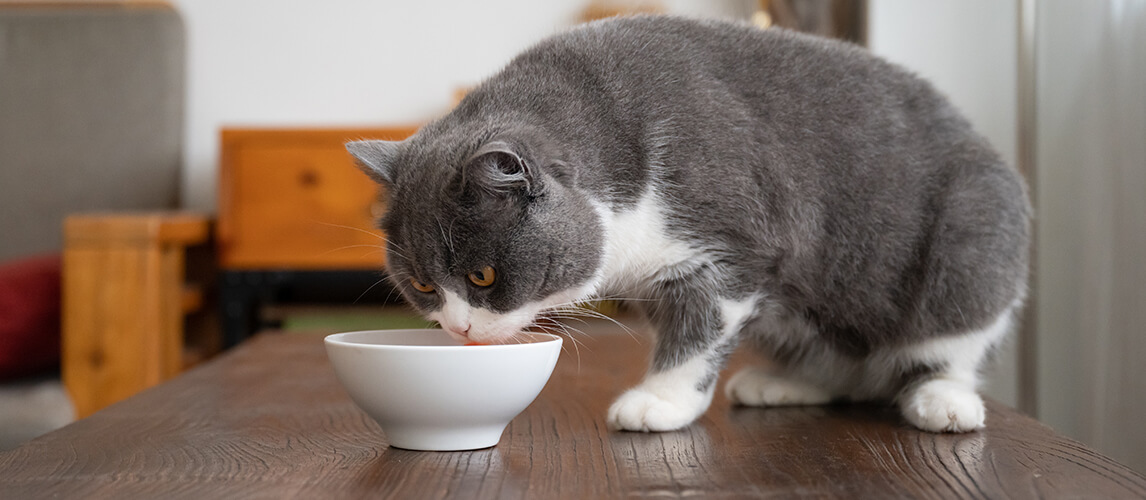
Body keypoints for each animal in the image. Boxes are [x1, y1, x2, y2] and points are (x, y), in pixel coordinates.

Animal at [346, 16, 1031, 433]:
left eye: (483, 276)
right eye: (424, 287)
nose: (460, 329)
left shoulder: (731, 246)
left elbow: (697, 332)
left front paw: (658, 402)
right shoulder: (652, 276)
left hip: (972, 240)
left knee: (948, 343)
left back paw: (943, 401)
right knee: (843, 372)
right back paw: (784, 384)